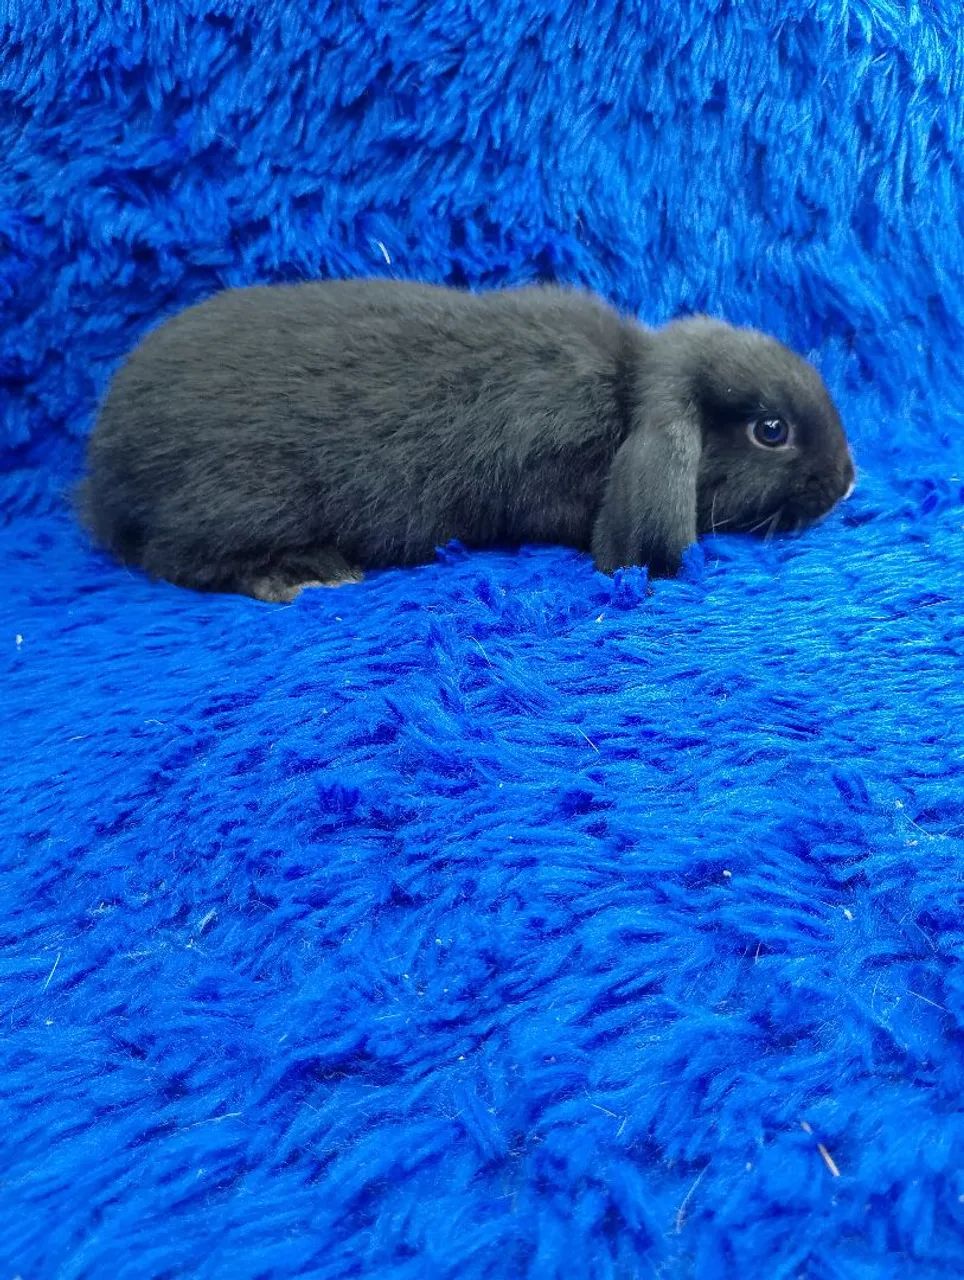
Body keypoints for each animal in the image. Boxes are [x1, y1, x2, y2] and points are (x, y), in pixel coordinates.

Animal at [78, 278, 855, 601]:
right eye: (771, 431)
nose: (848, 482)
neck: (627, 393)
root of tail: (105, 469)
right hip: (242, 501)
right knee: (176, 558)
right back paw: (302, 573)